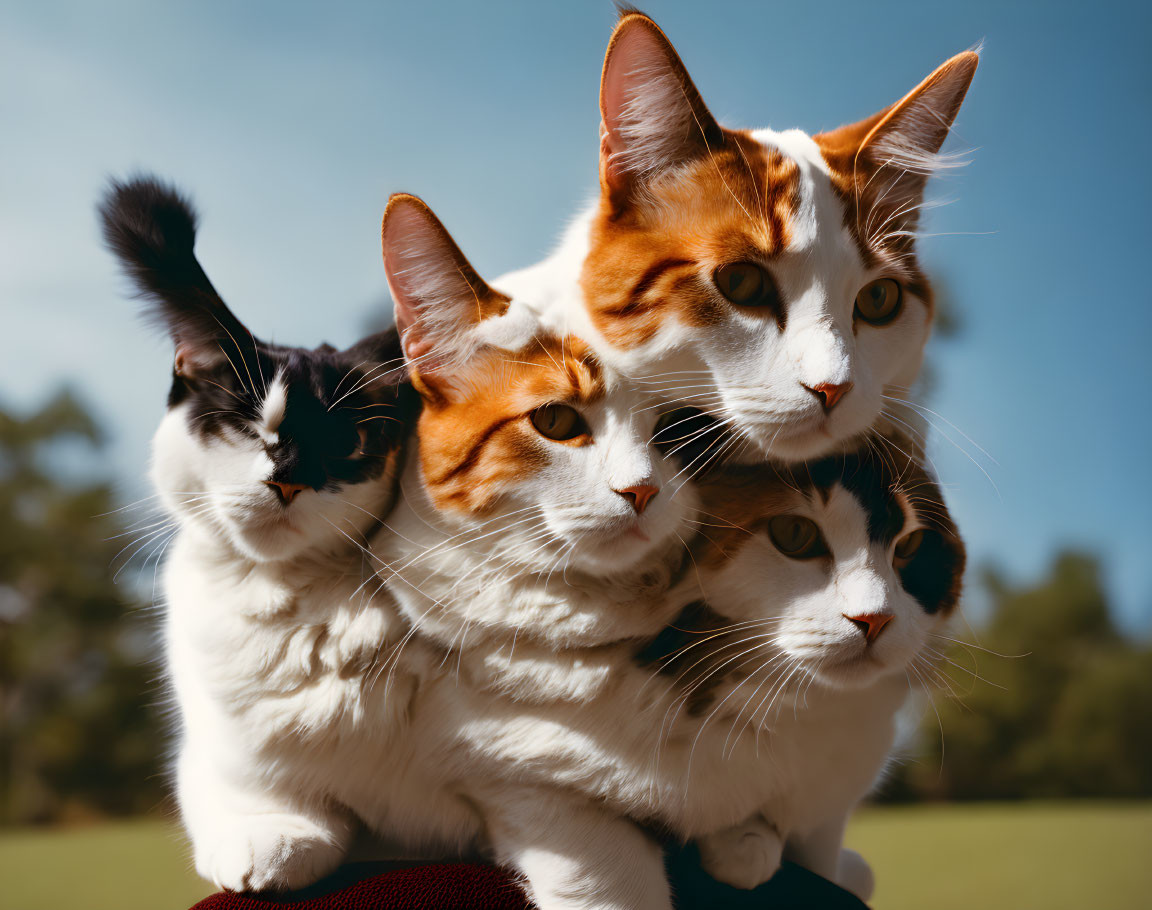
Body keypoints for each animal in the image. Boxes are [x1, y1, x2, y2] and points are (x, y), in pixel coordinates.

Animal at [100, 178, 419, 889]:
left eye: (347, 443)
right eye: (248, 425)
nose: (288, 480)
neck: (286, 603)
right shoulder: (206, 757)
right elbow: (261, 801)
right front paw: (270, 837)